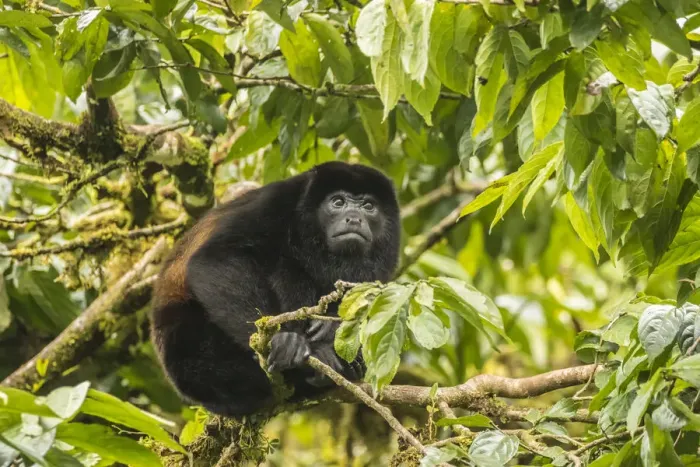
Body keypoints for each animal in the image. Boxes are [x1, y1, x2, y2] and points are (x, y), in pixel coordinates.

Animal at [150, 161, 401, 416]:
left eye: (368, 206)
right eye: (338, 202)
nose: (354, 218)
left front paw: (329, 328)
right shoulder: (276, 201)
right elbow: (214, 259)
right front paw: (280, 340)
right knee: (285, 265)